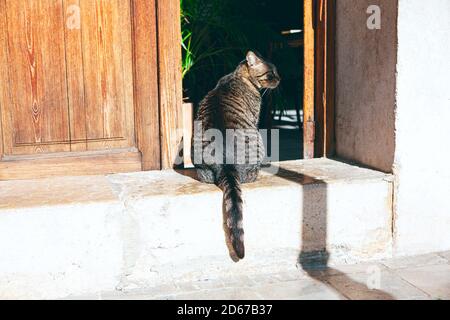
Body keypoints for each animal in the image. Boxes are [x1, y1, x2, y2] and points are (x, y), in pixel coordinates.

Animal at [192, 50, 280, 260]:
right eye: (271, 73)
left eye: (276, 72)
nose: (280, 79)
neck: (239, 75)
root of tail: (227, 164)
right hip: (258, 140)